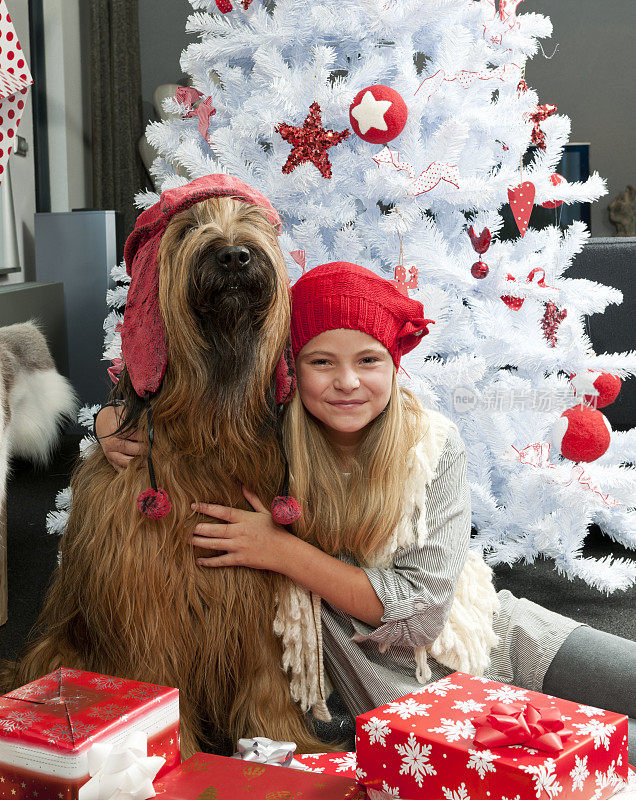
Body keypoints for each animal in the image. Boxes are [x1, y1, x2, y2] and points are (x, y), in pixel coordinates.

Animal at [7, 195, 328, 756]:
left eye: (250, 218)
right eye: (189, 226)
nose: (235, 255)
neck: (210, 431)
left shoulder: (255, 589)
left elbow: (267, 678)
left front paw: (286, 742)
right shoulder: (149, 602)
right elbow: (160, 683)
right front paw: (177, 754)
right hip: (61, 650)